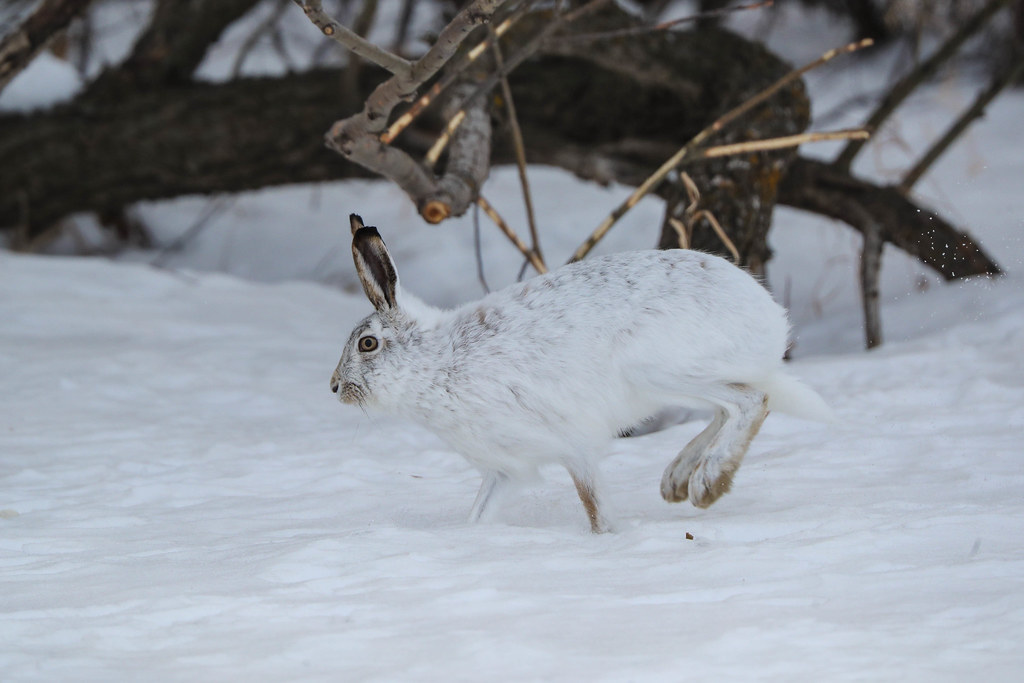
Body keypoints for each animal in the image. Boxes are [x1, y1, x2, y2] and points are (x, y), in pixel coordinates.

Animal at [331, 214, 833, 533]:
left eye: (367, 344)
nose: (335, 387)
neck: (435, 360)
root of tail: (769, 316)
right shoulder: (505, 469)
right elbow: (478, 515)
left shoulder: (572, 444)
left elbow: (594, 508)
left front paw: (608, 539)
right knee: (730, 406)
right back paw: (677, 478)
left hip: (659, 368)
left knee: (749, 401)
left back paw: (707, 482)